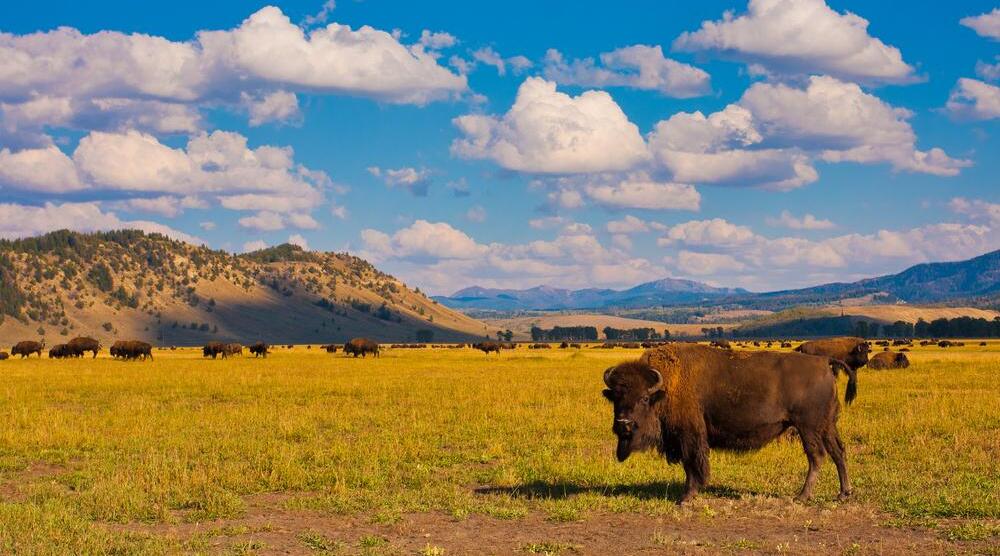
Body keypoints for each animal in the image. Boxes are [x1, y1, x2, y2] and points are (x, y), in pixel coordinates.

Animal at [596, 344, 856, 504]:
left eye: (643, 398)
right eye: (616, 397)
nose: (624, 423)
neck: (664, 388)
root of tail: (824, 362)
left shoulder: (689, 435)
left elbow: (692, 464)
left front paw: (686, 497)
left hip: (808, 427)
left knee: (817, 455)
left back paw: (802, 496)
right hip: (826, 426)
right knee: (838, 452)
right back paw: (843, 494)